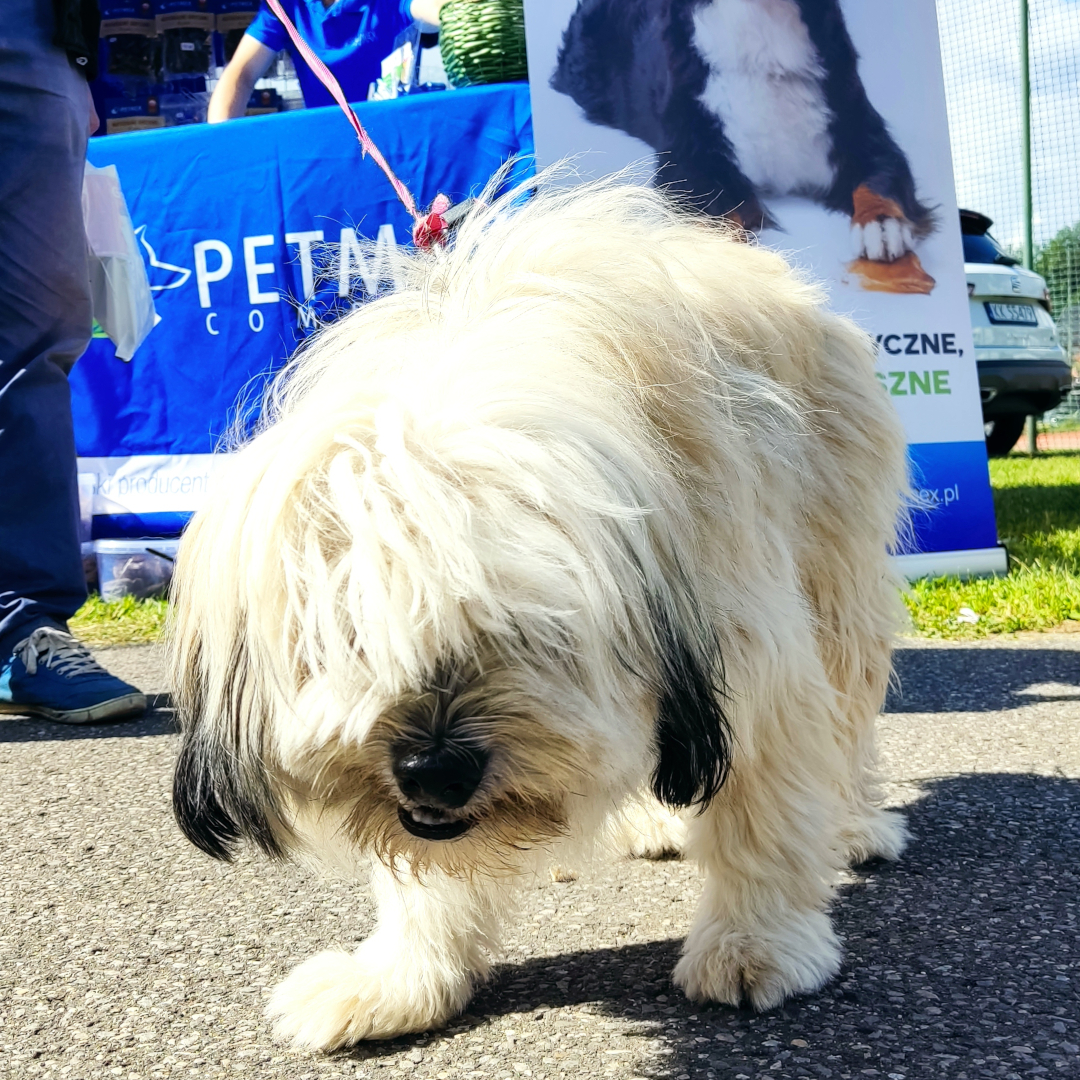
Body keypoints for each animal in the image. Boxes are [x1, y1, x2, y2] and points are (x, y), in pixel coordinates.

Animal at [169, 173, 910, 1050]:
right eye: (352, 635)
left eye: (526, 626)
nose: (436, 769)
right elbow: (423, 876)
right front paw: (400, 979)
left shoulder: (753, 647)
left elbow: (764, 807)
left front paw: (755, 943)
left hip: (836, 571)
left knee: (847, 712)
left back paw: (853, 825)